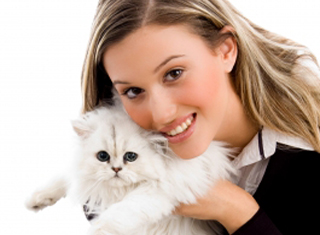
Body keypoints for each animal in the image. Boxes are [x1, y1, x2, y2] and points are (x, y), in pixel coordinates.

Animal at [25, 104, 235, 235]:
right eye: (103, 156)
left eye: (131, 157)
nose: (116, 169)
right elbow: (63, 179)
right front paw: (36, 199)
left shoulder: (160, 190)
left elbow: (116, 215)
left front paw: (95, 231)